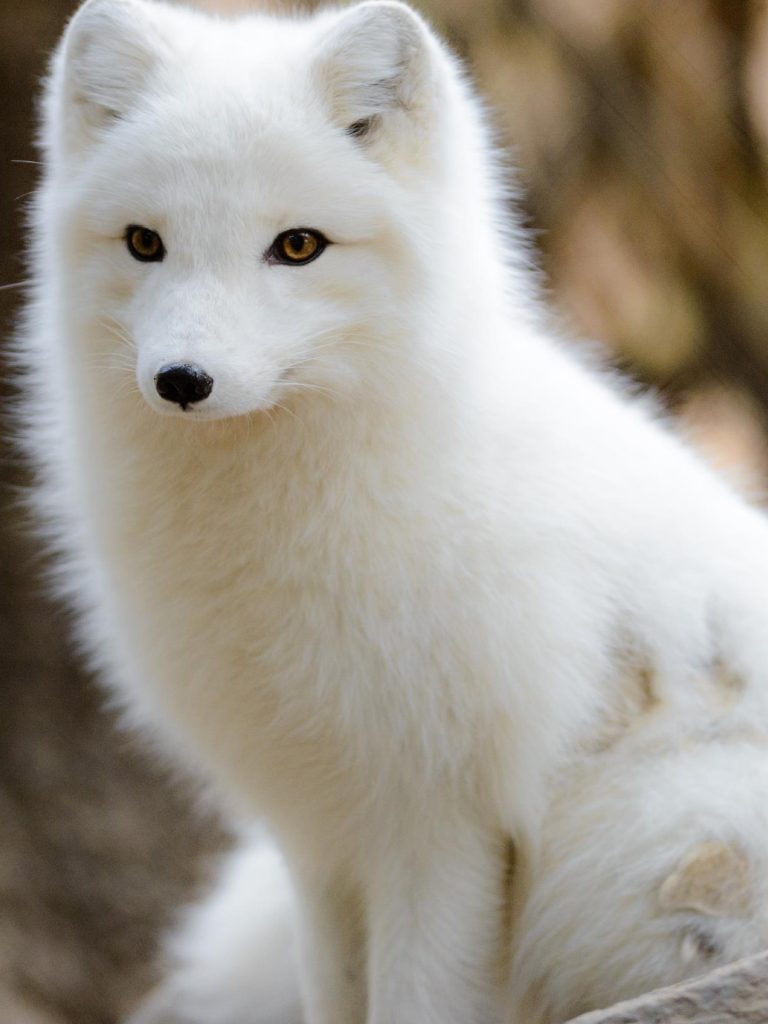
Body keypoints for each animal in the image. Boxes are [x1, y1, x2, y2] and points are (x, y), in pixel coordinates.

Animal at [19, 0, 768, 1021]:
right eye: (144, 242)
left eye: (297, 245)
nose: (182, 381)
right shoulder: (318, 829)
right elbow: (336, 993)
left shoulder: (439, 823)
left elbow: (416, 998)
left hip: (645, 840)